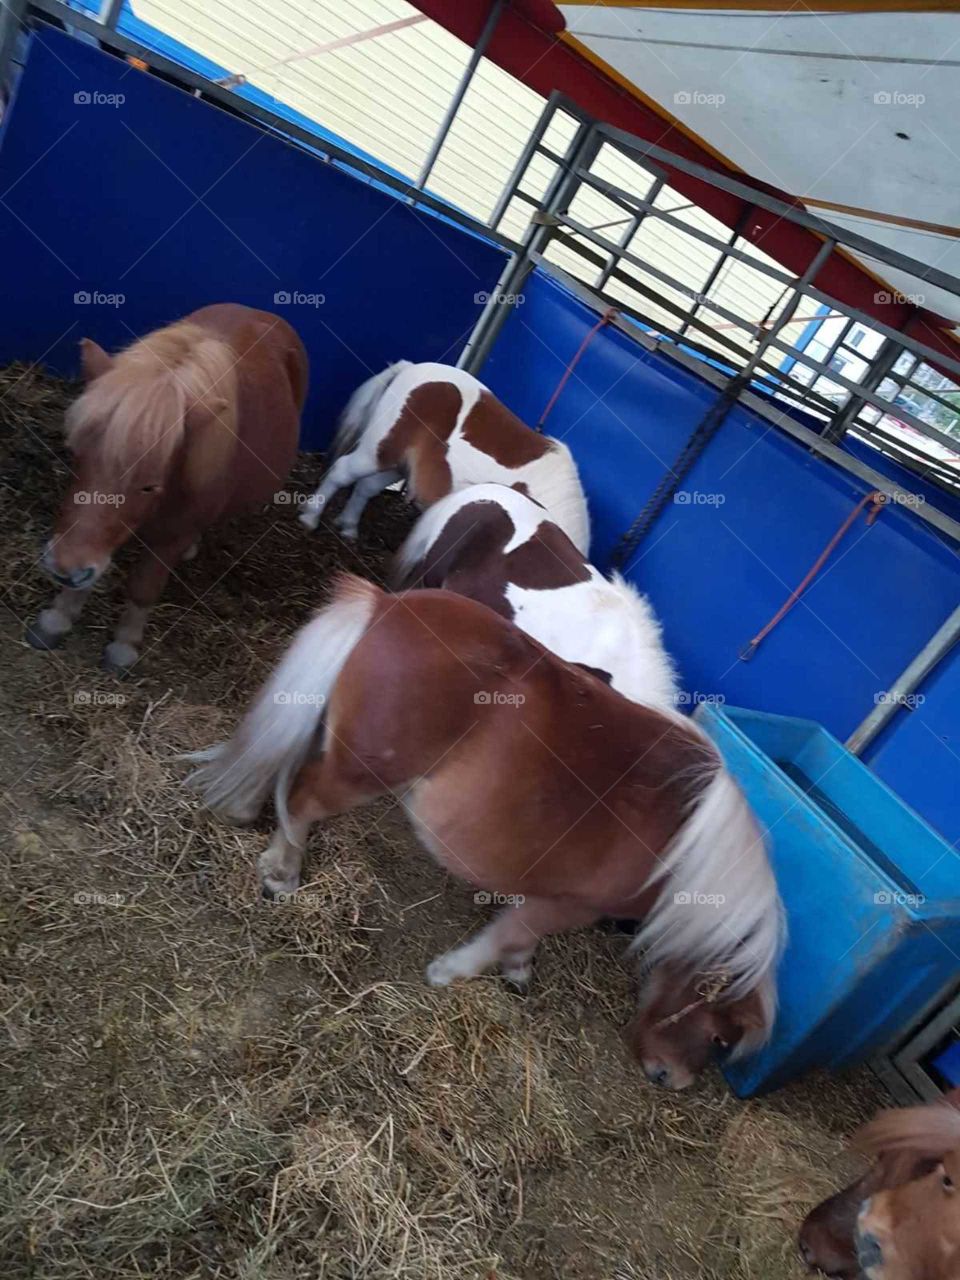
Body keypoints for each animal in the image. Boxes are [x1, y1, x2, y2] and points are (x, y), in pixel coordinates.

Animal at [27, 304, 308, 674]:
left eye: (149, 486)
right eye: (77, 455)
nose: (65, 568)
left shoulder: (170, 536)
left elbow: (144, 586)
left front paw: (124, 646)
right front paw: (58, 616)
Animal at [188, 574, 784, 1089]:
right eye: (719, 1033)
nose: (671, 1079)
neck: (686, 852)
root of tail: (386, 606)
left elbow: (519, 932)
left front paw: (518, 971)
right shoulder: (571, 904)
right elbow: (510, 934)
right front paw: (453, 973)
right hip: (359, 773)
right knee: (302, 799)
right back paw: (283, 871)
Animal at [297, 361, 590, 554]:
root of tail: (409, 367)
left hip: (397, 465)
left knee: (366, 488)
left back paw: (348, 528)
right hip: (376, 452)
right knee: (341, 472)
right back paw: (310, 518)